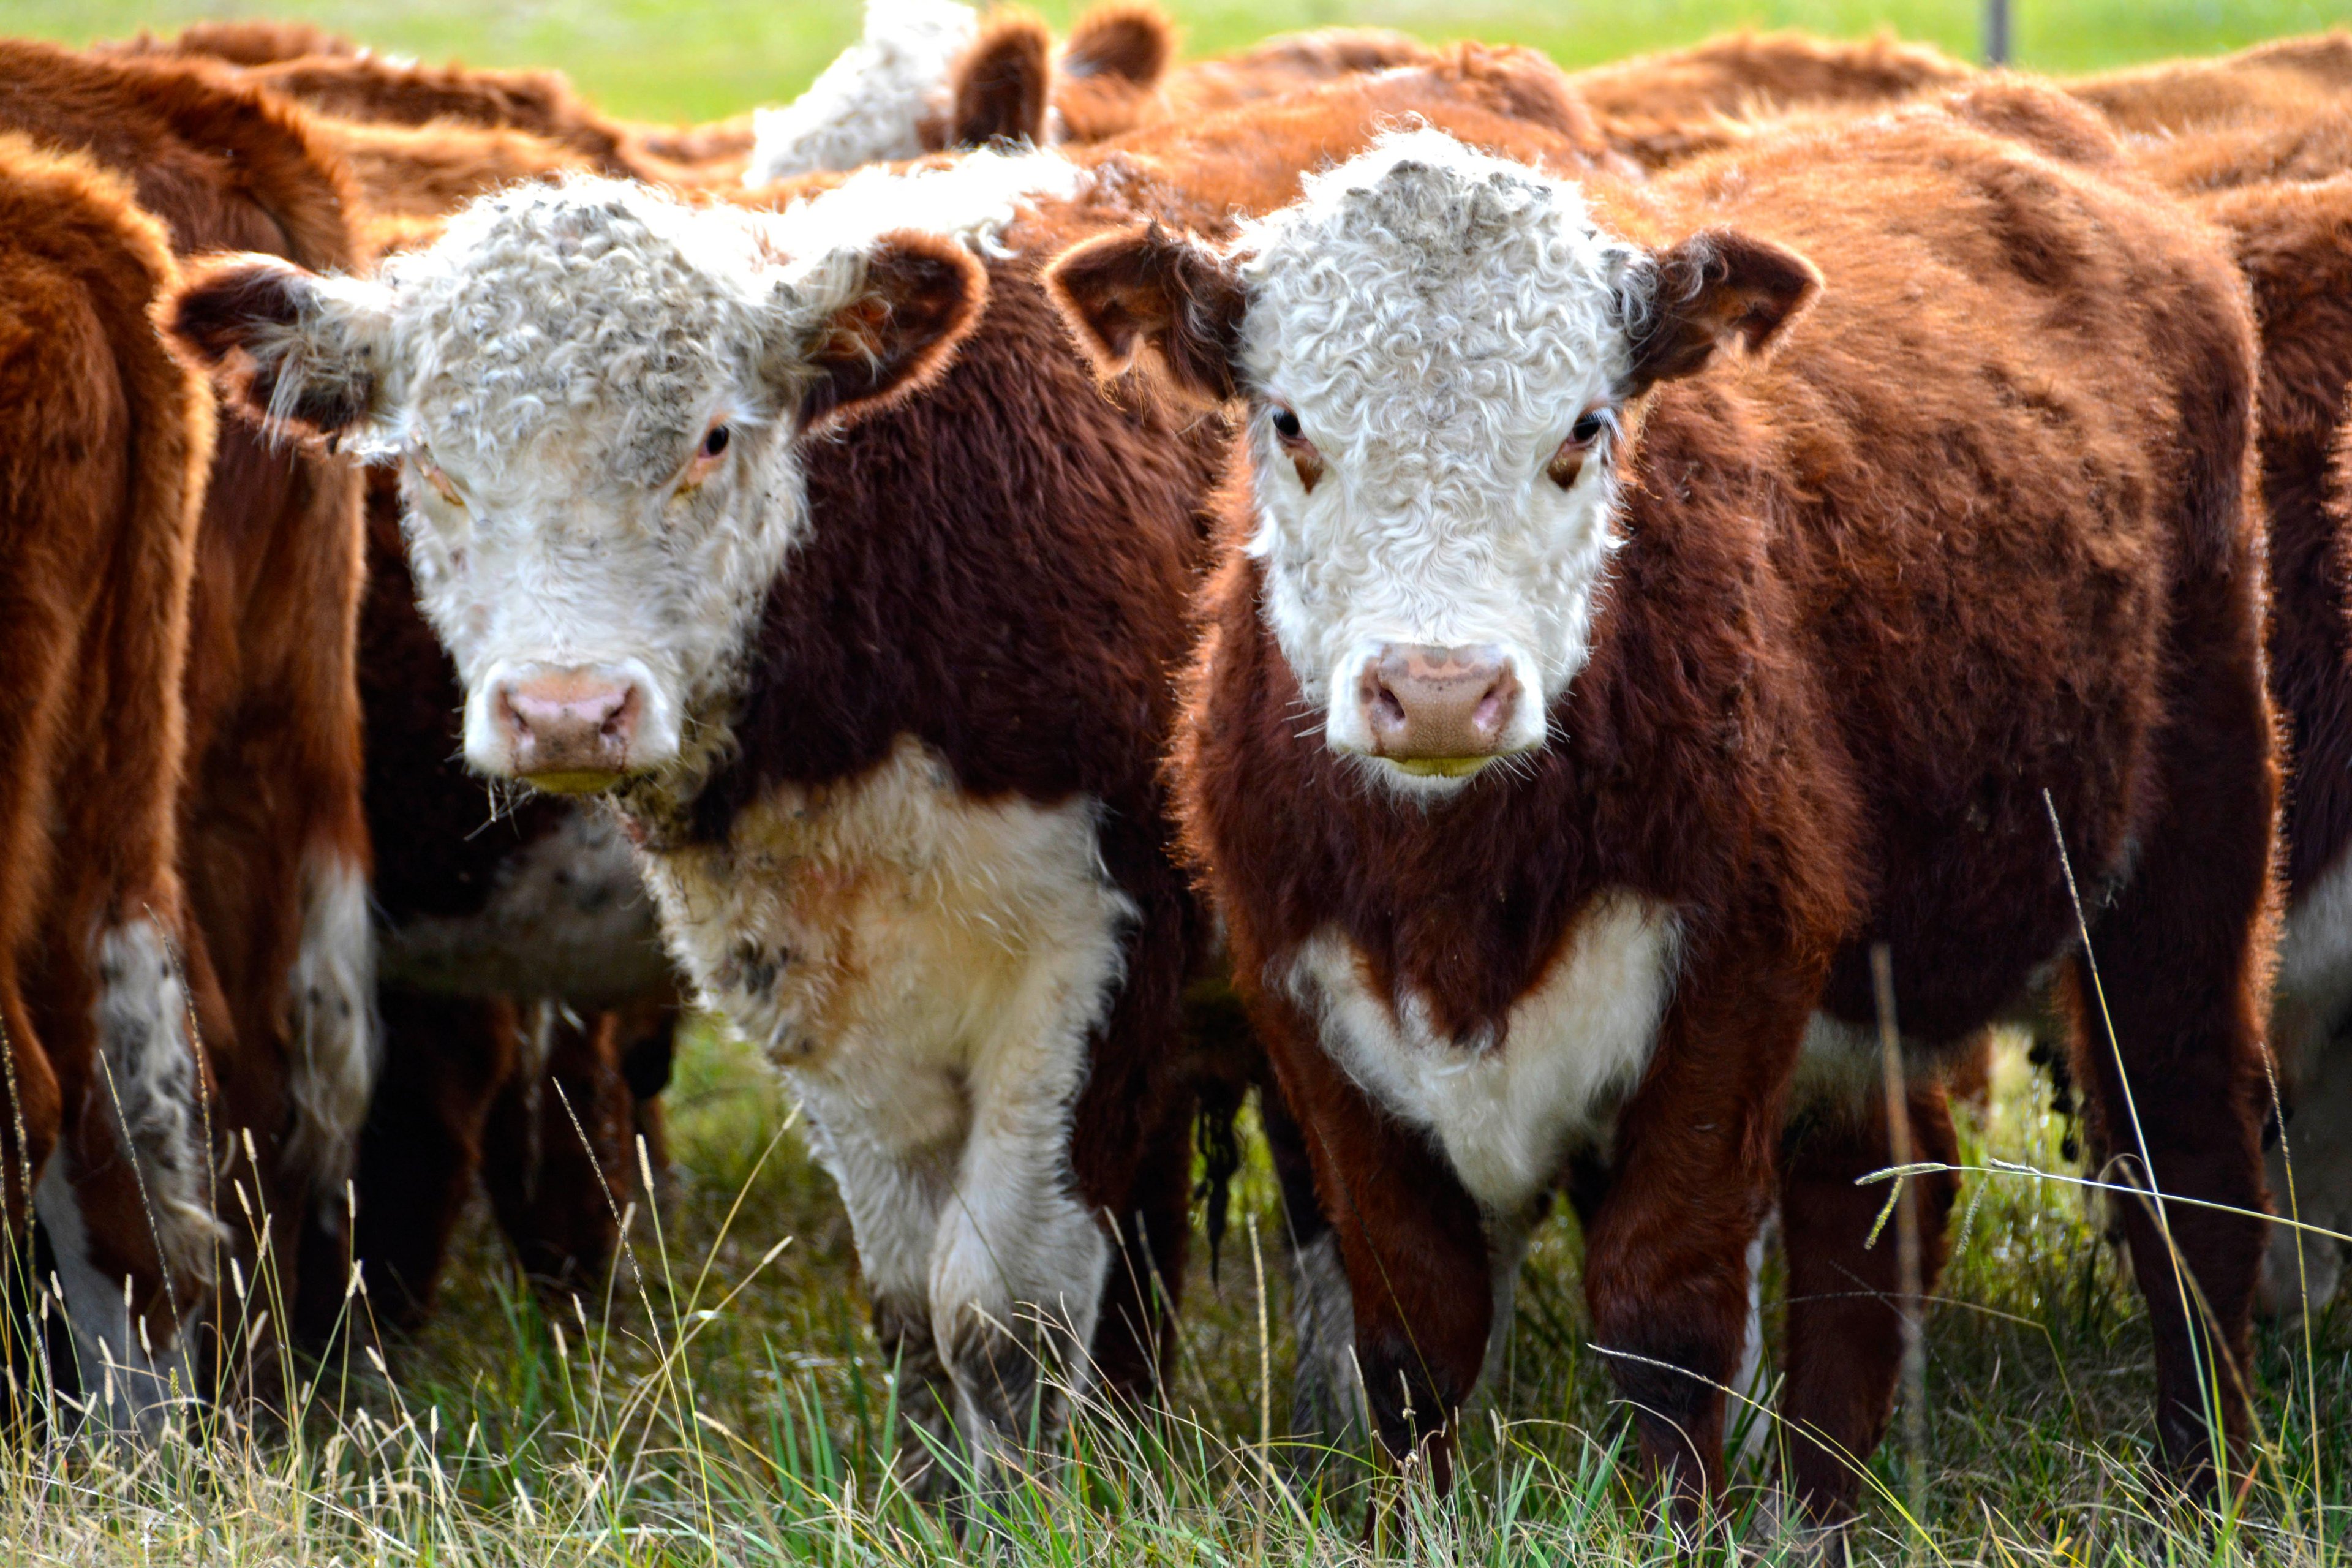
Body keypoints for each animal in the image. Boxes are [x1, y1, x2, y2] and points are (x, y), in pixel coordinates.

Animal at [1045, 102, 2275, 1523]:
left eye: (1584, 426)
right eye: (1290, 421)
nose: (1440, 689)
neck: (1455, 887)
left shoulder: (1736, 968)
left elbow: (1664, 1314)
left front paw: (1671, 1527)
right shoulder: (1300, 990)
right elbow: (1411, 1326)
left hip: (2190, 845)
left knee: (2188, 1165)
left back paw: (2204, 1479)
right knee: (1873, 1206)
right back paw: (1823, 1508)